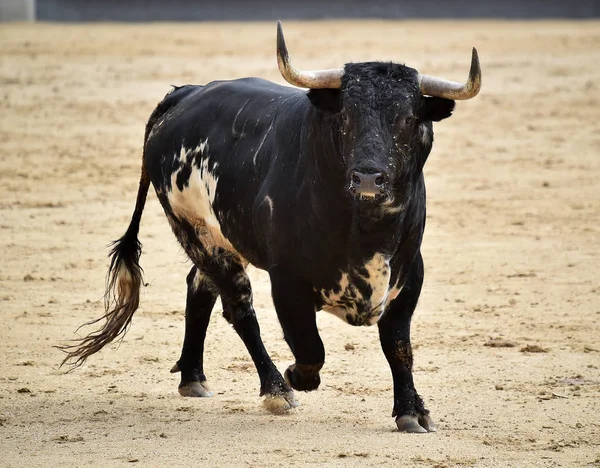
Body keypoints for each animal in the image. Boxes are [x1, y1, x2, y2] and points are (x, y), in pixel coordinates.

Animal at [61, 21, 480, 432]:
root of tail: (184, 94)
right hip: (194, 232)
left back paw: (193, 378)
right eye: (344, 117)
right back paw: (276, 388)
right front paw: (296, 377)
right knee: (239, 308)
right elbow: (310, 347)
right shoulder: (288, 280)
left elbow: (398, 346)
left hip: (221, 239)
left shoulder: (409, 275)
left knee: (200, 287)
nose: (367, 179)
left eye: (409, 119)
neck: (366, 228)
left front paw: (412, 410)